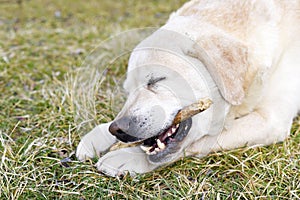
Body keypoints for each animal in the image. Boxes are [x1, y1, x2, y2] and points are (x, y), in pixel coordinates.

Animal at [75, 0, 300, 176]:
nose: (117, 129)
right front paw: (101, 134)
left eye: (156, 79)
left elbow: (201, 141)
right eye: (128, 91)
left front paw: (127, 156)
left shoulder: (269, 120)